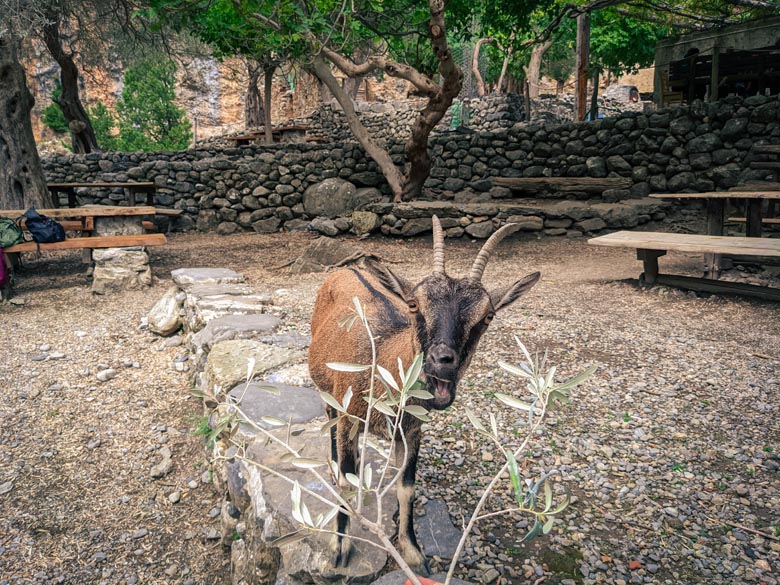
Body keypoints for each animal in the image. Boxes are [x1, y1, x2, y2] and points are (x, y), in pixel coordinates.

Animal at [308, 217, 540, 572]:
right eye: (414, 304)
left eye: (487, 316)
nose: (443, 362)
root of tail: (347, 269)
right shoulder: (349, 416)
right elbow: (347, 486)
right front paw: (339, 548)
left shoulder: (411, 431)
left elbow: (406, 488)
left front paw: (413, 551)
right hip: (329, 395)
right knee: (332, 429)